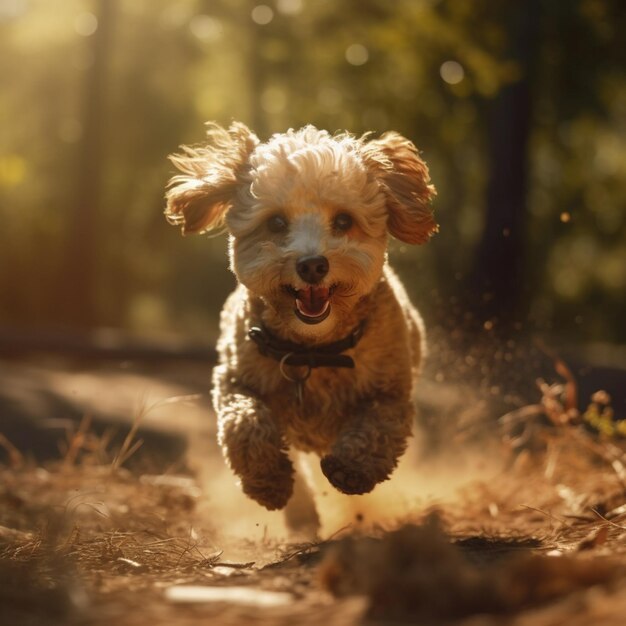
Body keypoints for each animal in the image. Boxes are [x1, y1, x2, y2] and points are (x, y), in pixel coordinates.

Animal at [165, 122, 434, 516]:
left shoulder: (392, 391)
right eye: (276, 222)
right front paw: (269, 481)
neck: (314, 351)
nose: (312, 265)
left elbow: (378, 426)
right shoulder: (233, 379)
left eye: (343, 220)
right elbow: (245, 423)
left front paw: (351, 468)